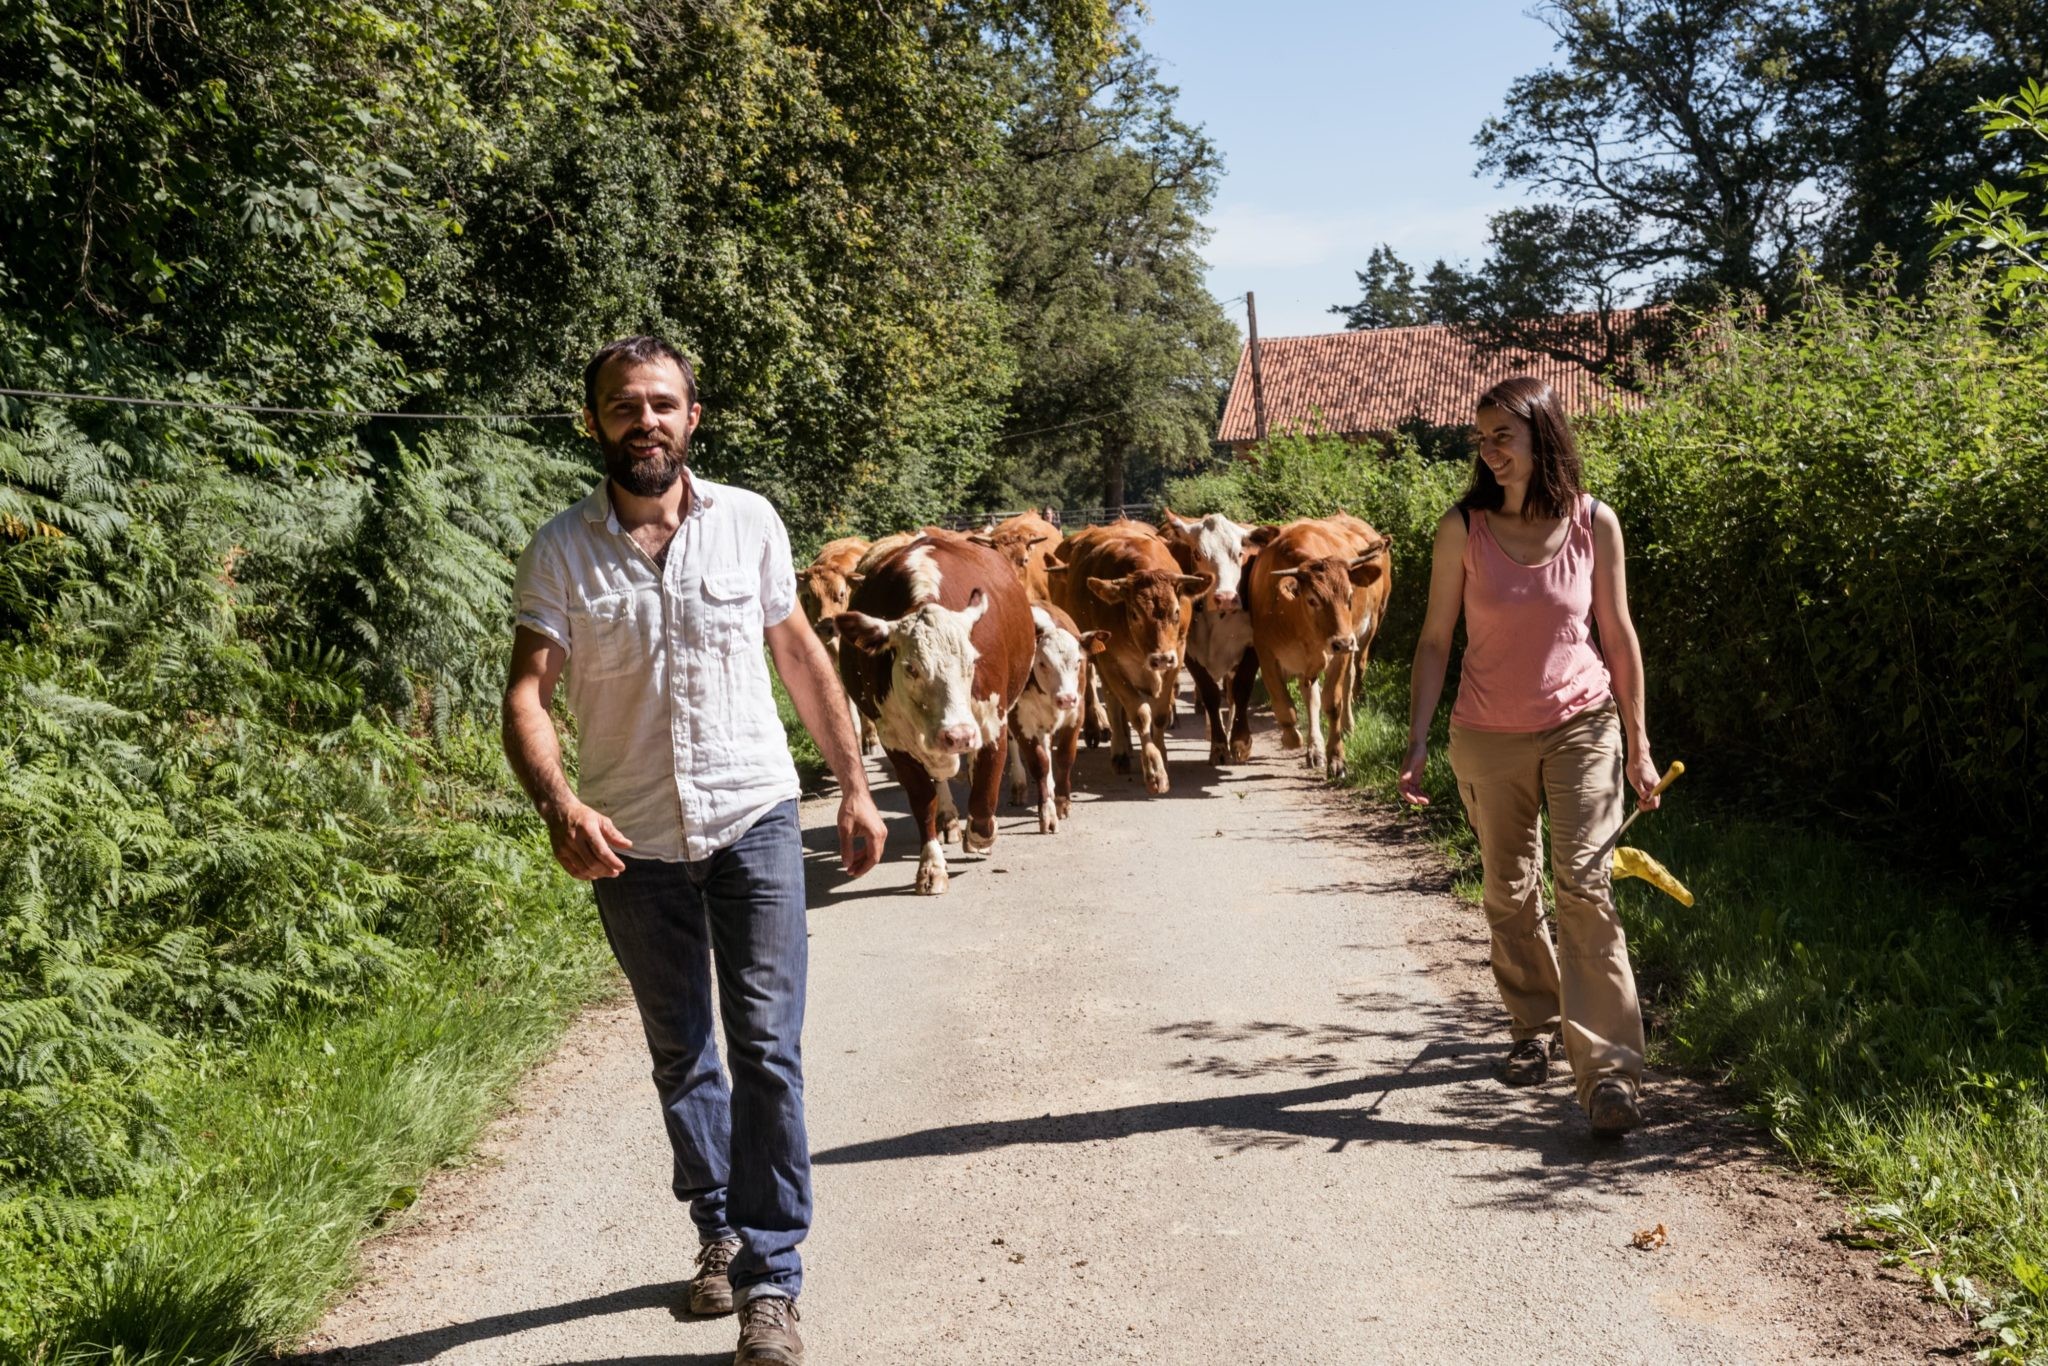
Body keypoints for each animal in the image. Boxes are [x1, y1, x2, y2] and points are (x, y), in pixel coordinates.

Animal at [831, 532, 1032, 897]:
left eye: (972, 660)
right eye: (911, 668)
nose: (959, 735)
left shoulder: (990, 723)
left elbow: (985, 794)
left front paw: (981, 835)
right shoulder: (894, 739)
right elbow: (923, 800)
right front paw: (932, 866)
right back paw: (950, 819)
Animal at [1003, 606, 1105, 835]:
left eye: (1078, 661)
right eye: (1042, 663)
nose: (1066, 699)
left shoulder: (1076, 714)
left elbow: (1065, 757)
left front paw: (1062, 802)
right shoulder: (1020, 720)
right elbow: (1039, 762)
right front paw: (1047, 813)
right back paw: (1019, 785)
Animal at [1048, 524, 1204, 802]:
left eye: (1176, 612)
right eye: (1134, 614)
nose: (1161, 658)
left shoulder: (1177, 657)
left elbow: (1159, 715)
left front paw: (1162, 754)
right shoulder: (1111, 663)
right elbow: (1140, 715)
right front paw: (1154, 770)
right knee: (1111, 700)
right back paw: (1120, 750)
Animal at [1245, 516, 1392, 778]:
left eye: (1350, 596)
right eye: (1312, 600)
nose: (1342, 641)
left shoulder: (1339, 655)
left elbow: (1332, 703)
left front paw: (1337, 760)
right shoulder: (1266, 654)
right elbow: (1285, 705)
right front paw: (1293, 739)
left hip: (1367, 632)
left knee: (1351, 678)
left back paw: (1347, 726)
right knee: (1310, 696)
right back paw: (1315, 748)